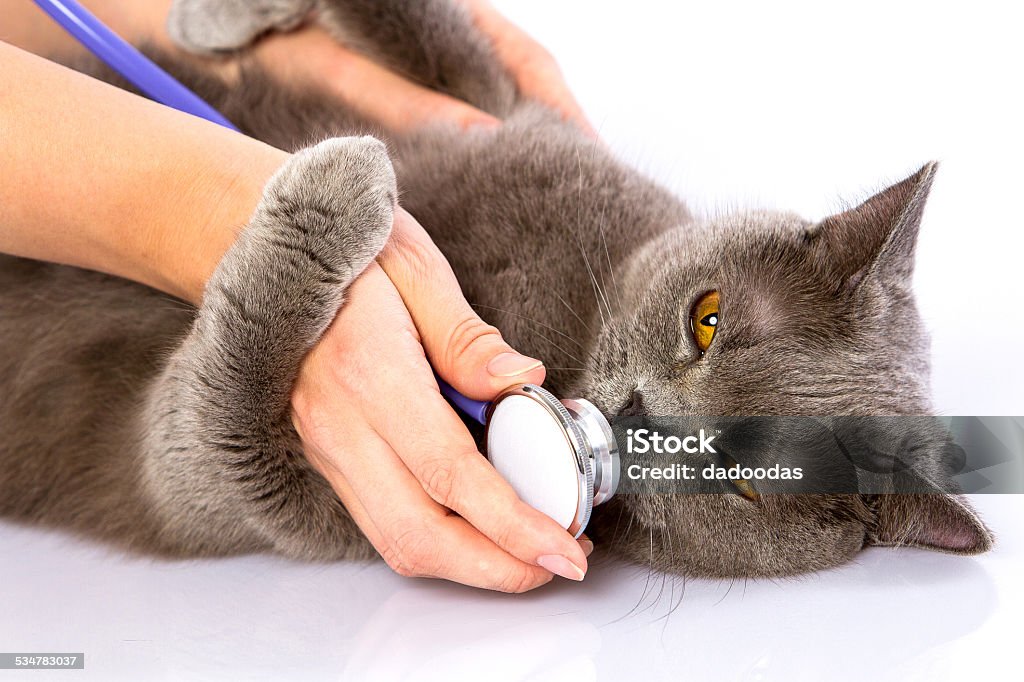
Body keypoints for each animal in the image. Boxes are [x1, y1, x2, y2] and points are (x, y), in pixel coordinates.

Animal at [0, 0, 991, 577]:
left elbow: (227, 395)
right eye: (707, 321)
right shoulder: (497, 110)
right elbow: (435, 32)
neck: (555, 325)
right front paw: (219, 18)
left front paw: (334, 185)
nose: (639, 415)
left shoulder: (228, 483)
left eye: (743, 484)